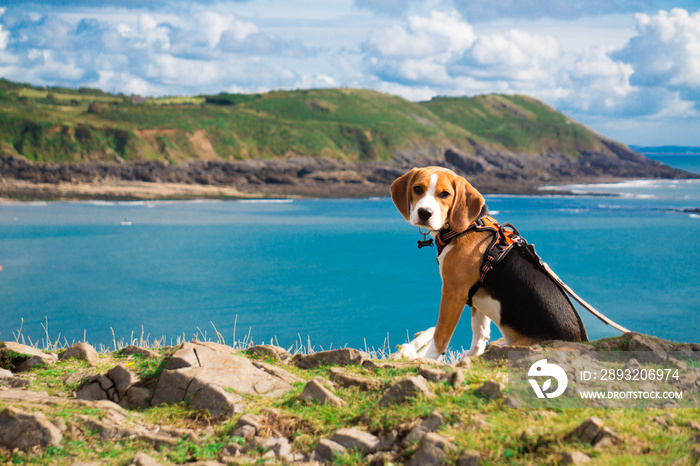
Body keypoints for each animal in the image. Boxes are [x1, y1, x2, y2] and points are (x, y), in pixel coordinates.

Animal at [392, 167, 588, 360]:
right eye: (418, 189)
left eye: (445, 194)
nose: (424, 213)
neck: (467, 227)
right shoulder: (476, 293)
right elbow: (479, 329)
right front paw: (473, 354)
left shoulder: (453, 293)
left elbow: (440, 335)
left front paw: (428, 359)